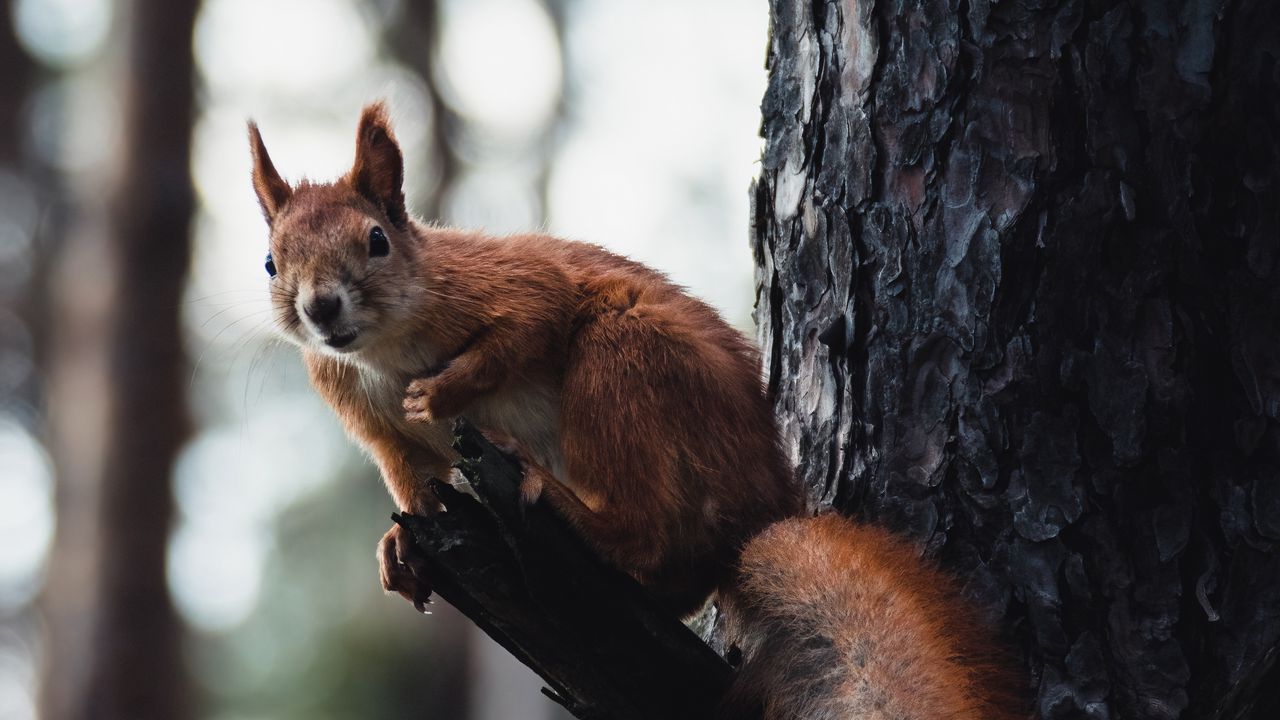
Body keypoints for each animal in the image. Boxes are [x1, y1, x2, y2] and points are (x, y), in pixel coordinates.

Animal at [252, 103, 1029, 712]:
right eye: (269, 261)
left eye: (376, 241)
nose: (320, 308)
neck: (380, 351)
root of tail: (764, 506)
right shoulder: (369, 422)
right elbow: (410, 478)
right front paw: (401, 543)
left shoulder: (506, 284)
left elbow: (526, 325)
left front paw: (440, 391)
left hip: (623, 359)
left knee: (646, 538)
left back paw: (562, 501)